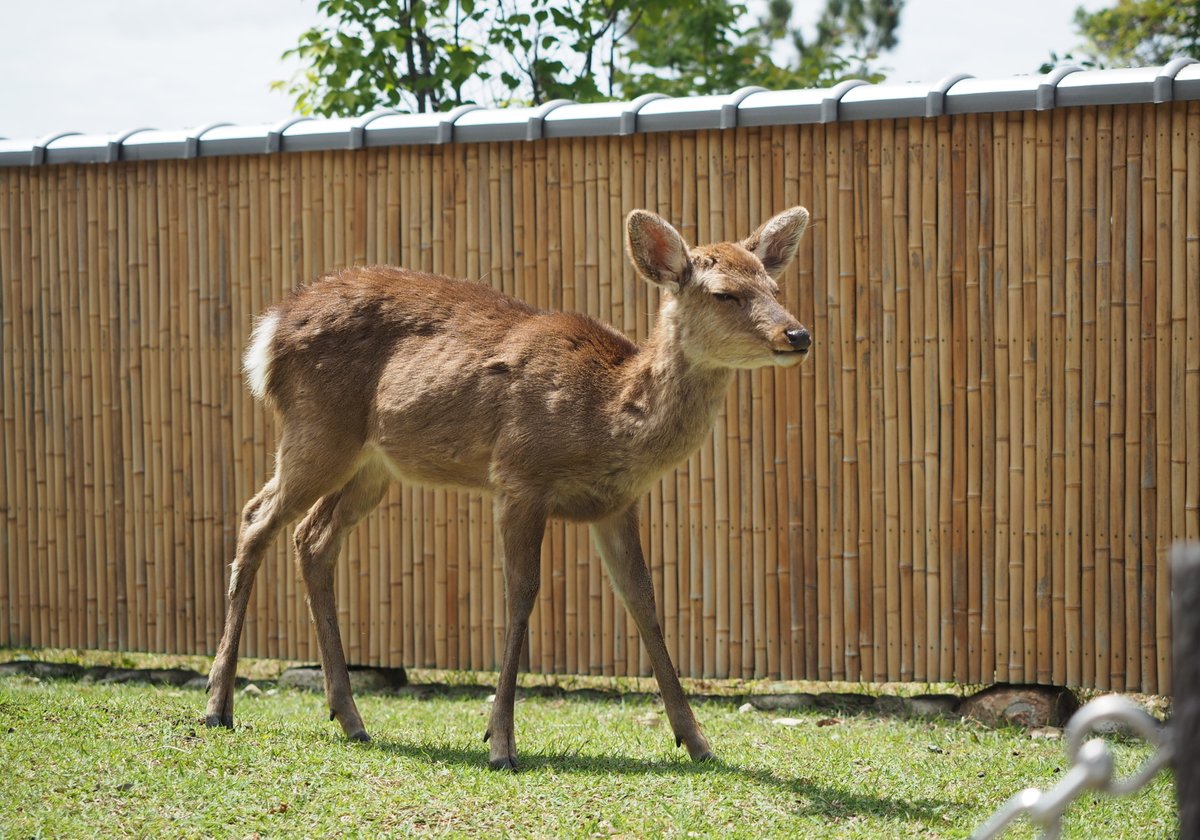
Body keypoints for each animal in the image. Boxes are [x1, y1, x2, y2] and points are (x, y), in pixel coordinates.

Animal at [205, 206, 813, 770]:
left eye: (774, 287)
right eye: (725, 293)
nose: (798, 334)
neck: (610, 413)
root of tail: (268, 332)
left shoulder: (616, 505)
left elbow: (644, 602)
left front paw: (697, 741)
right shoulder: (520, 476)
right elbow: (521, 596)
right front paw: (500, 742)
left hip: (373, 465)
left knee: (313, 538)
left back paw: (350, 718)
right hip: (317, 428)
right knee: (256, 516)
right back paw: (217, 706)